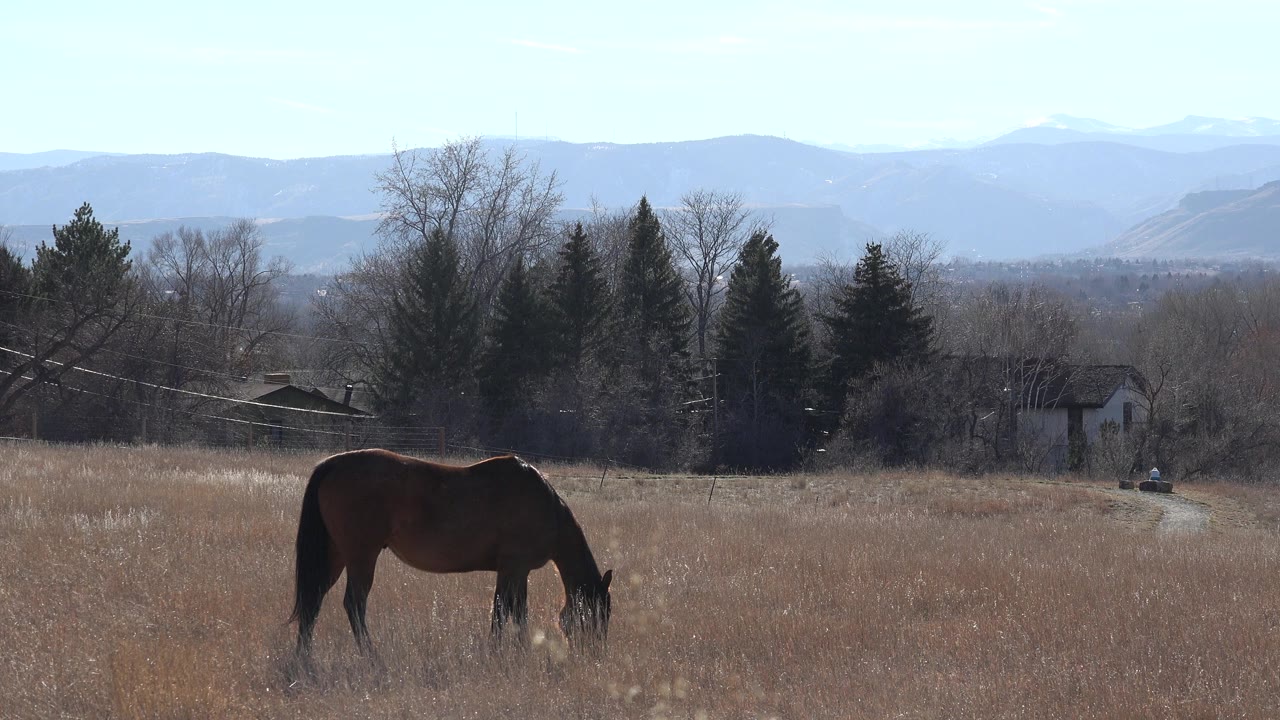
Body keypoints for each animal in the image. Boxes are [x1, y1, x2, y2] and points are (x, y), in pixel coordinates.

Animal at [288, 449, 613, 659]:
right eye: (599, 614)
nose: (595, 653)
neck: (545, 506)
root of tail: (333, 463)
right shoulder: (515, 567)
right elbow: (508, 611)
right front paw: (507, 651)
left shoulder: (514, 571)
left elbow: (509, 610)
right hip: (361, 556)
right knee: (354, 605)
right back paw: (371, 656)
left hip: (335, 554)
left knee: (313, 601)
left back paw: (304, 658)